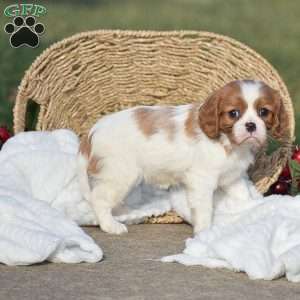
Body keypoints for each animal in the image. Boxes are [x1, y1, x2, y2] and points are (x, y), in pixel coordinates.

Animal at [77, 79, 286, 234]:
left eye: (263, 112)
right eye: (233, 113)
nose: (251, 125)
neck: (229, 143)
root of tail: (93, 132)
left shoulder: (232, 176)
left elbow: (242, 195)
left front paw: (251, 209)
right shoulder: (202, 180)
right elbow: (204, 208)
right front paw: (204, 232)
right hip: (120, 174)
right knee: (99, 199)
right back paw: (111, 225)